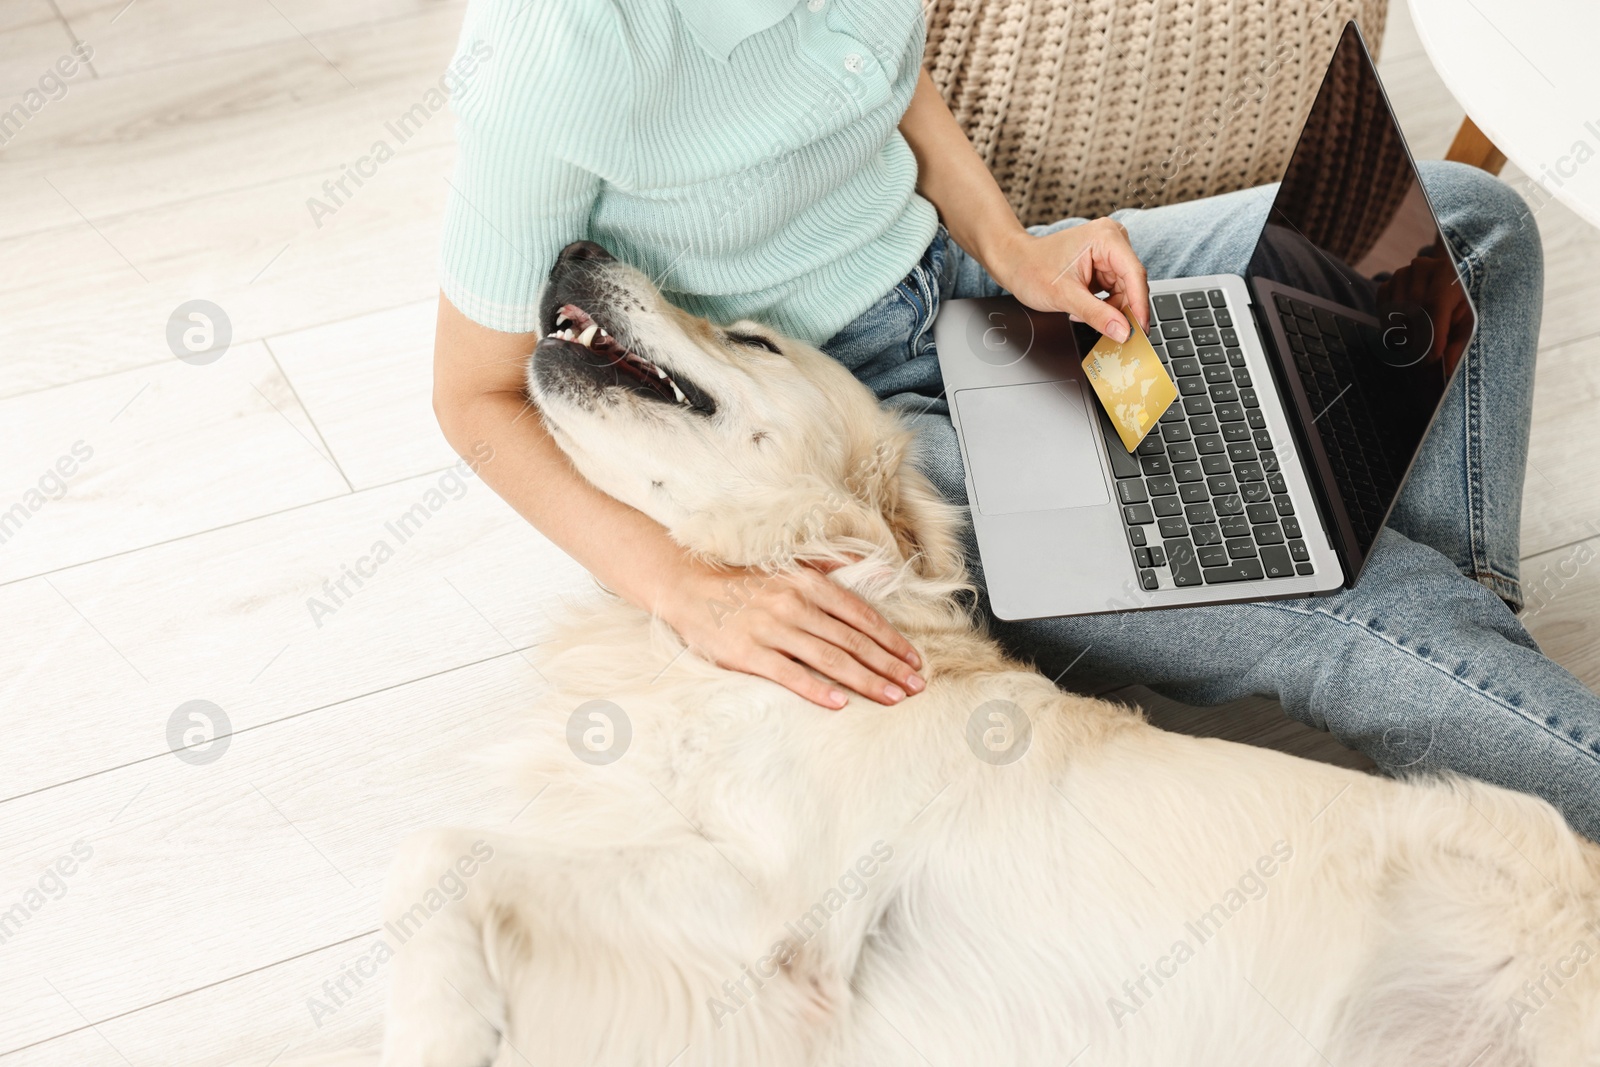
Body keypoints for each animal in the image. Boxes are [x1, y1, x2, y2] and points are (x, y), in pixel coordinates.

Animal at [350, 244, 1600, 1067]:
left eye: (750, 337)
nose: (574, 245)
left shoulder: (786, 914)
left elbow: (433, 853)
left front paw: (438, 1031)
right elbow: (447, 864)